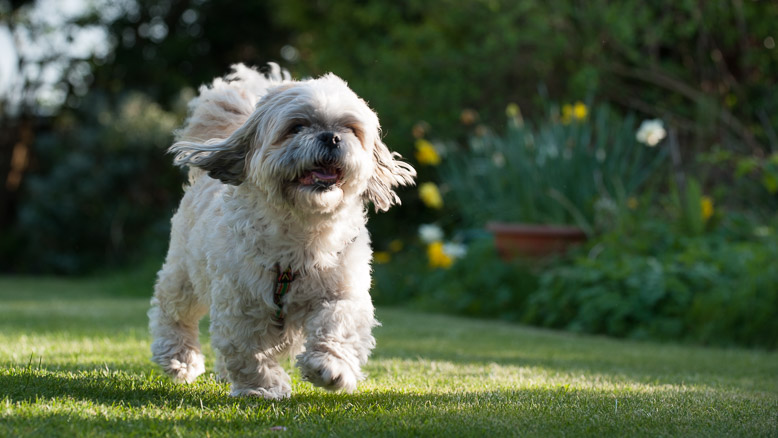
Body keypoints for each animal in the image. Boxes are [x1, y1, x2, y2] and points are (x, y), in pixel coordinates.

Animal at [146, 64, 412, 400]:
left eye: (350, 128)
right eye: (296, 127)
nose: (332, 137)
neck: (302, 233)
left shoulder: (343, 290)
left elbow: (339, 322)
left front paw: (330, 367)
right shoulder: (240, 303)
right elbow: (248, 351)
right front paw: (263, 387)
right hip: (185, 274)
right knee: (172, 311)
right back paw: (179, 358)